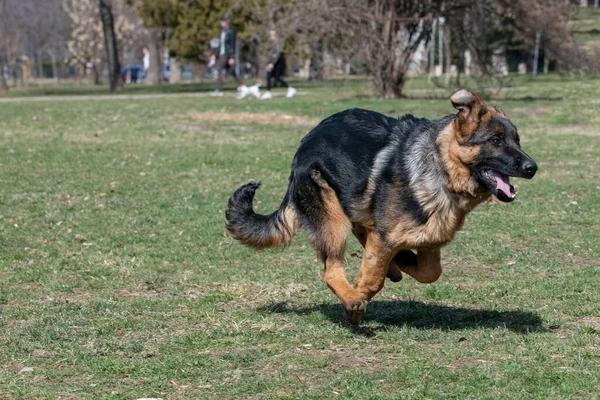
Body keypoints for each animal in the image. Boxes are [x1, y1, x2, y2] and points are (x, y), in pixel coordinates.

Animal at [226, 89, 540, 324]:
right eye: (495, 141)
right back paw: (353, 297)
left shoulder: (430, 241)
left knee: (362, 231)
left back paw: (391, 266)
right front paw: (360, 297)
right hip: (332, 220)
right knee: (331, 270)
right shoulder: (388, 236)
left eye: (517, 140)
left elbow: (429, 272)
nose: (533, 168)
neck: (441, 166)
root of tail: (303, 145)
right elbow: (373, 279)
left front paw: (400, 262)